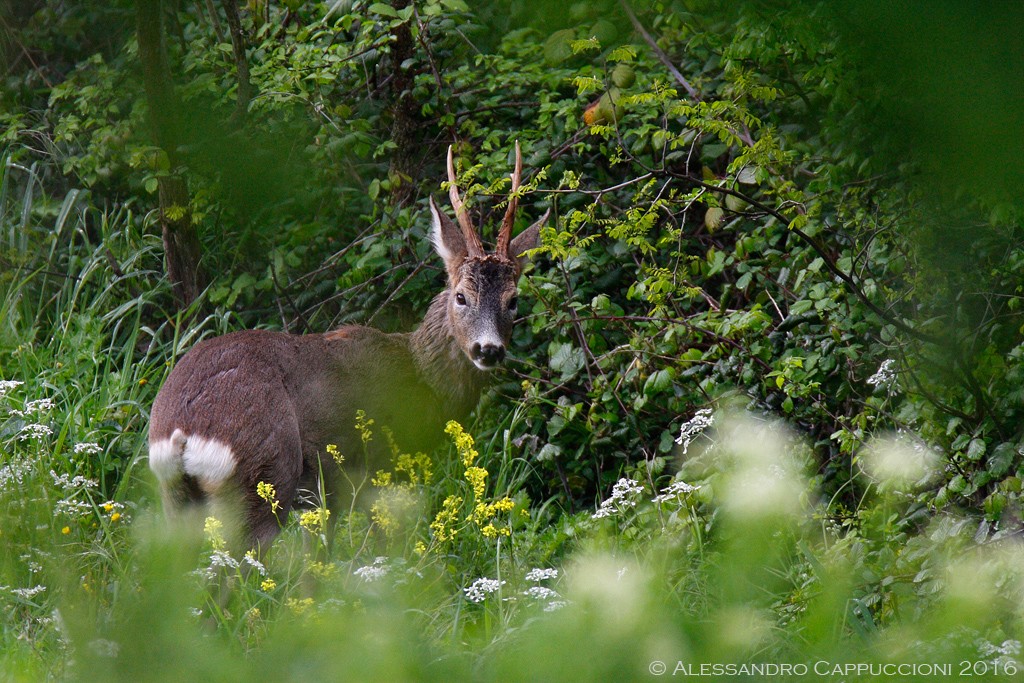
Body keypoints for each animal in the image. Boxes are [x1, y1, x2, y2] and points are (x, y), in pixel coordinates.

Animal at [148, 144, 548, 548]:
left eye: (513, 300)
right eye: (462, 297)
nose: (489, 349)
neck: (418, 374)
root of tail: (181, 432)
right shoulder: (375, 473)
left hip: (177, 498)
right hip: (265, 474)